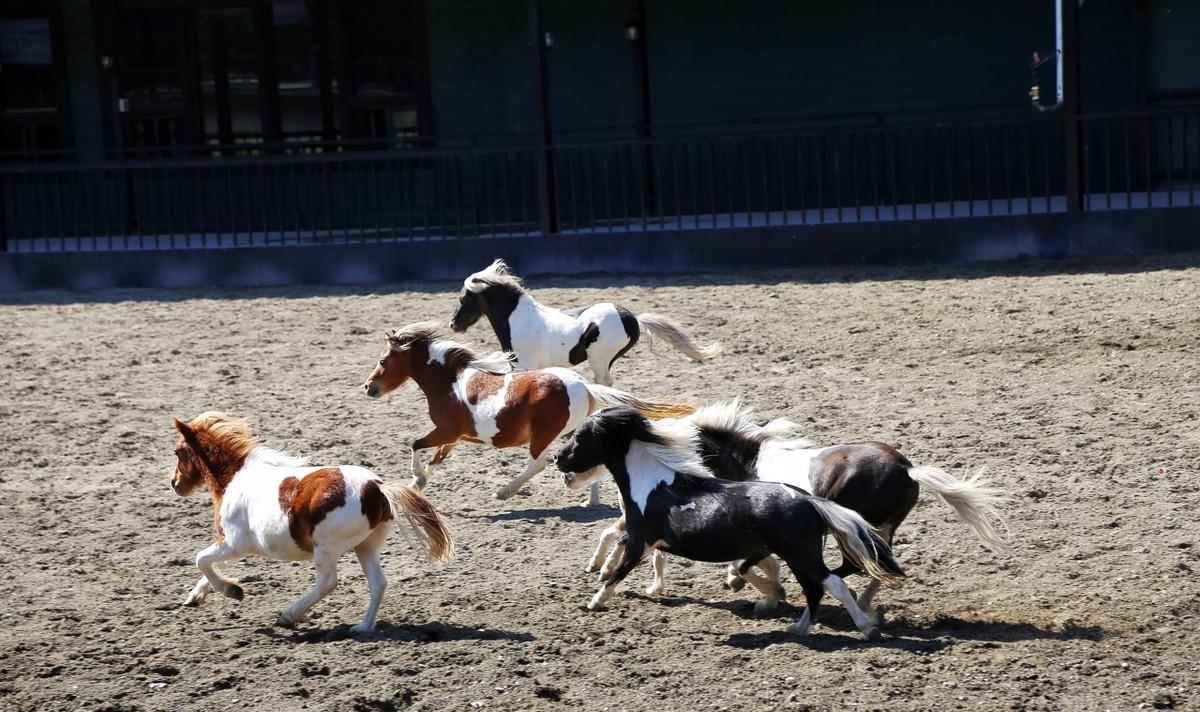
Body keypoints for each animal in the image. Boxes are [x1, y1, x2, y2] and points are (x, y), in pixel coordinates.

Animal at [166, 410, 451, 633]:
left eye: (178, 452)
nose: (175, 483)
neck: (234, 479)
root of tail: (376, 487)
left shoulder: (234, 543)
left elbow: (202, 559)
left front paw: (232, 591)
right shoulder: (234, 545)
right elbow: (212, 564)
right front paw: (196, 596)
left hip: (325, 549)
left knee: (327, 583)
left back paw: (289, 616)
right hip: (366, 546)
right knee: (378, 583)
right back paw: (363, 627)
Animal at [360, 321, 691, 504]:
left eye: (383, 361)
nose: (367, 387)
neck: (450, 382)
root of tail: (583, 385)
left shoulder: (446, 430)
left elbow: (416, 445)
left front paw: (416, 477)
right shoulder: (454, 436)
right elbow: (436, 458)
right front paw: (418, 484)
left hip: (542, 435)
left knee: (538, 464)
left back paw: (505, 492)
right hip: (579, 433)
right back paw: (588, 497)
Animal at [446, 259, 715, 386]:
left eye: (464, 298)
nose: (454, 324)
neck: (518, 319)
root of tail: (632, 318)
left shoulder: (522, 365)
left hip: (599, 358)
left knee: (606, 383)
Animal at [556, 405, 902, 638]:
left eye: (582, 437)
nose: (559, 458)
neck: (652, 484)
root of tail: (810, 501)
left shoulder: (640, 540)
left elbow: (619, 571)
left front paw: (595, 601)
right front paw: (769, 594)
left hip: (802, 554)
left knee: (833, 584)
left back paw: (864, 627)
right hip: (799, 556)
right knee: (815, 588)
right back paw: (798, 627)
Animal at [590, 398, 1012, 624]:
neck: (744, 463)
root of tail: (907, 469)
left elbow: (749, 565)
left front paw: (754, 589)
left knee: (853, 566)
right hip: (879, 528)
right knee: (875, 564)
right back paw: (864, 605)